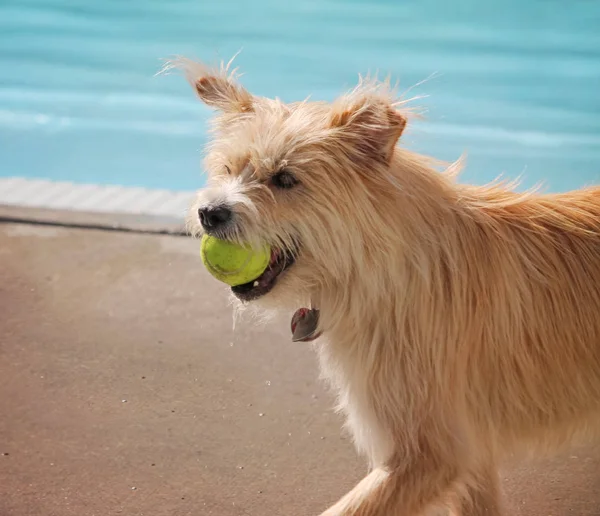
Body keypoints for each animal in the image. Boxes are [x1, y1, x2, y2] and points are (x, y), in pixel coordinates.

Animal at [168, 58, 600, 512]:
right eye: (228, 170)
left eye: (285, 179)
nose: (209, 213)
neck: (387, 270)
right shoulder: (471, 458)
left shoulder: (433, 454)